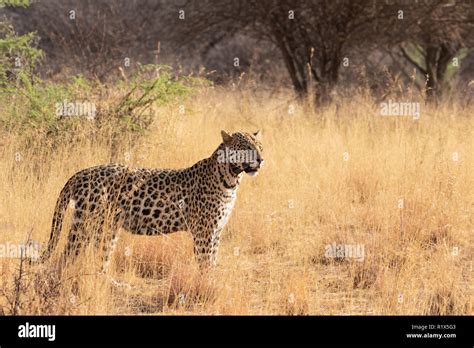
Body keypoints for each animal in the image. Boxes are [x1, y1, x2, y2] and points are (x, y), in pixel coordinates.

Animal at [38, 130, 262, 270]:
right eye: (244, 147)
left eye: (260, 146)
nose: (261, 159)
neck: (231, 180)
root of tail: (81, 173)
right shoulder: (204, 232)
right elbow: (205, 263)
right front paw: (206, 286)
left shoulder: (217, 231)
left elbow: (213, 261)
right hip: (85, 225)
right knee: (67, 256)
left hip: (106, 229)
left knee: (101, 260)